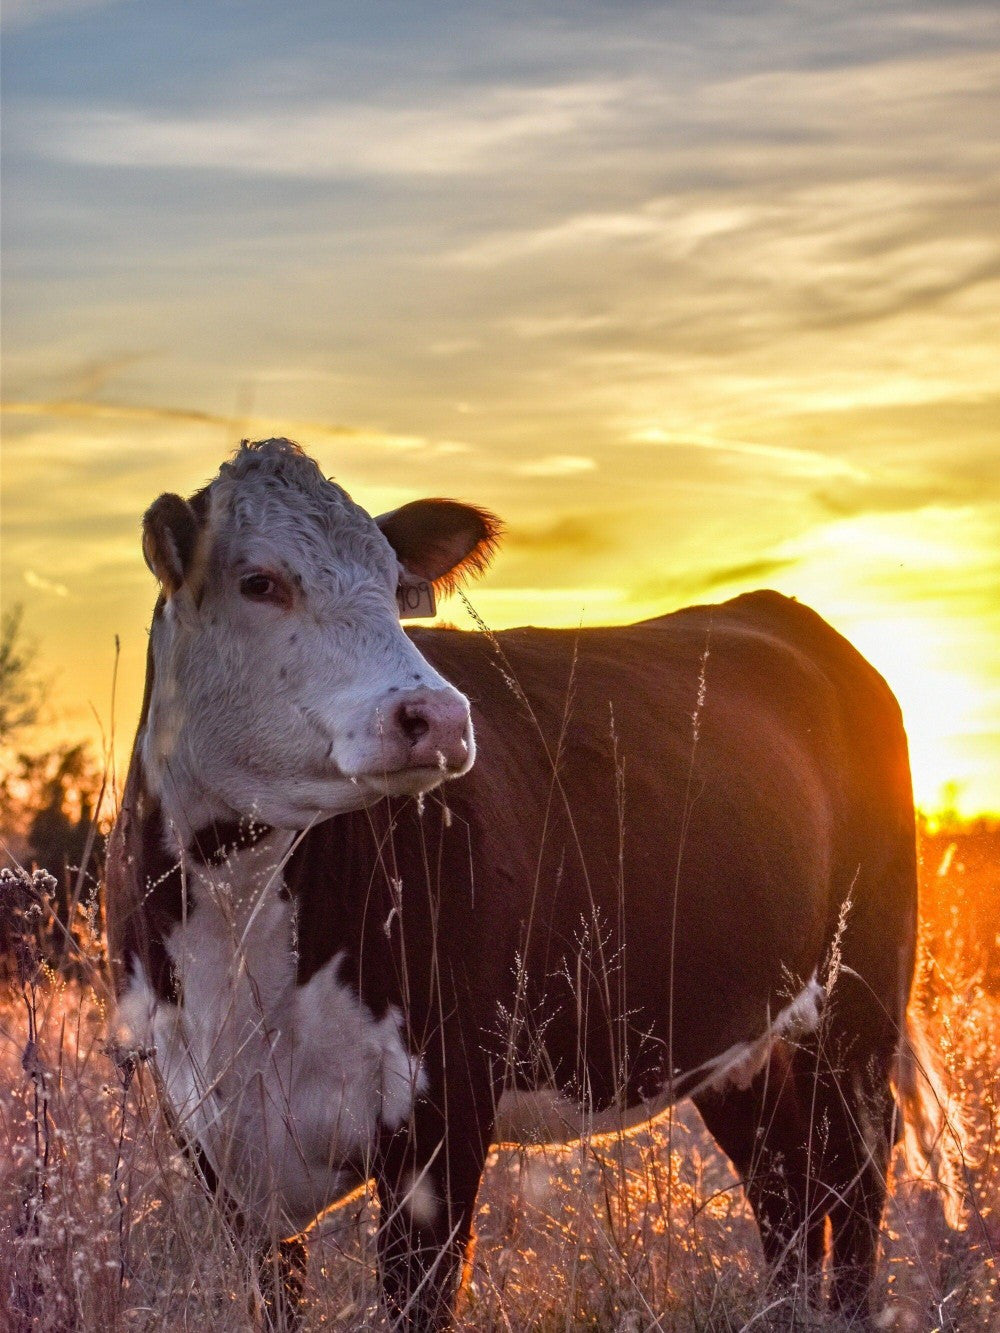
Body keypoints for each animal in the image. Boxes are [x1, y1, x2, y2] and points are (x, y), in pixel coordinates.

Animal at [106, 437, 953, 1329]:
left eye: (391, 581)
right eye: (258, 581)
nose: (439, 716)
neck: (238, 932)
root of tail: (783, 611)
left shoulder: (441, 1113)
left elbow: (420, 1297)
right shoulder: (213, 1135)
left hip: (859, 1002)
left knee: (851, 1179)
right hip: (738, 1031)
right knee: (783, 1181)